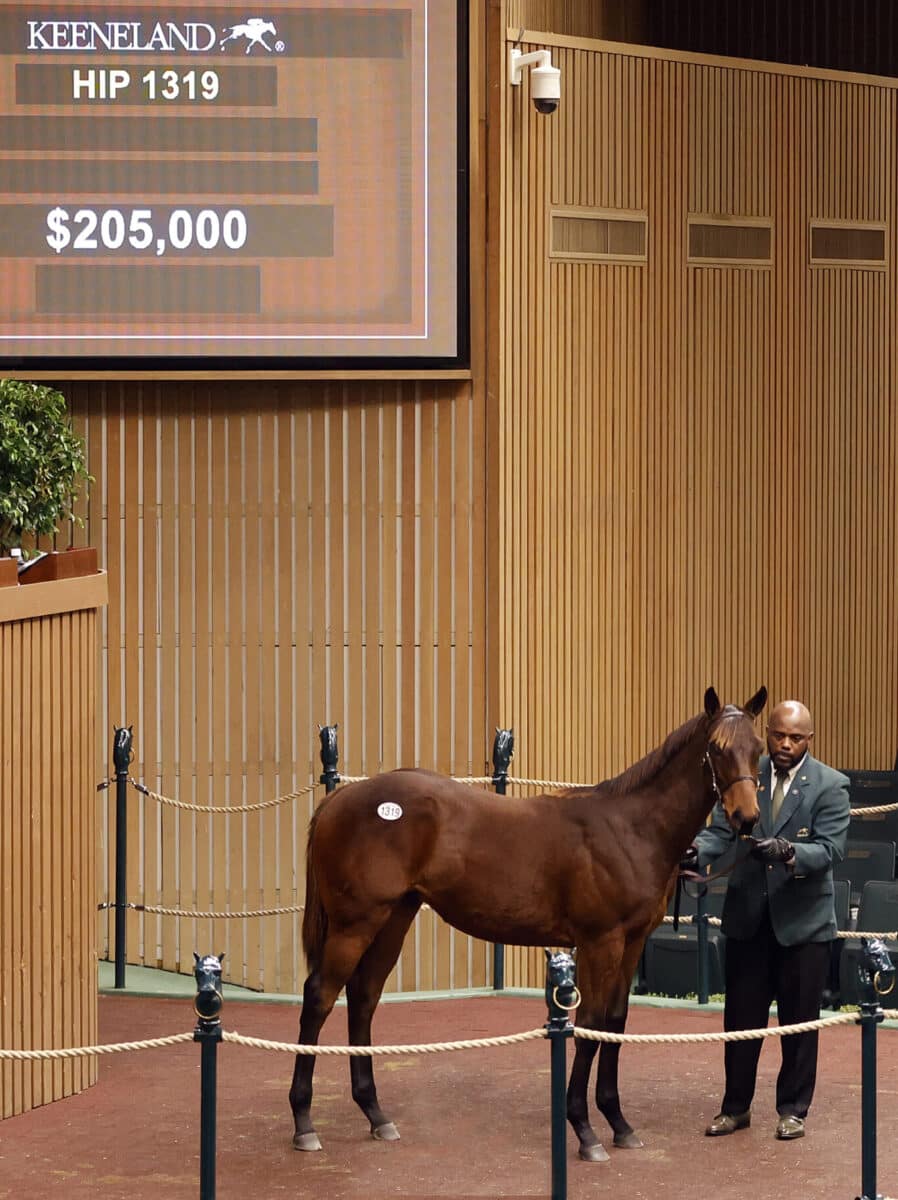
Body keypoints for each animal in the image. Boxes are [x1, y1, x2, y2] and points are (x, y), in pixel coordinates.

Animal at [289, 686, 763, 1161]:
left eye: (757, 749)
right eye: (717, 748)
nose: (747, 818)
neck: (630, 829)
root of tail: (339, 798)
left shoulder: (631, 943)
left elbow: (614, 1024)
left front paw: (618, 1123)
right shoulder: (600, 943)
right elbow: (588, 1026)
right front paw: (585, 1131)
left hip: (393, 920)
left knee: (363, 997)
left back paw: (375, 1114)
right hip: (355, 925)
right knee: (320, 997)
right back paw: (304, 1122)